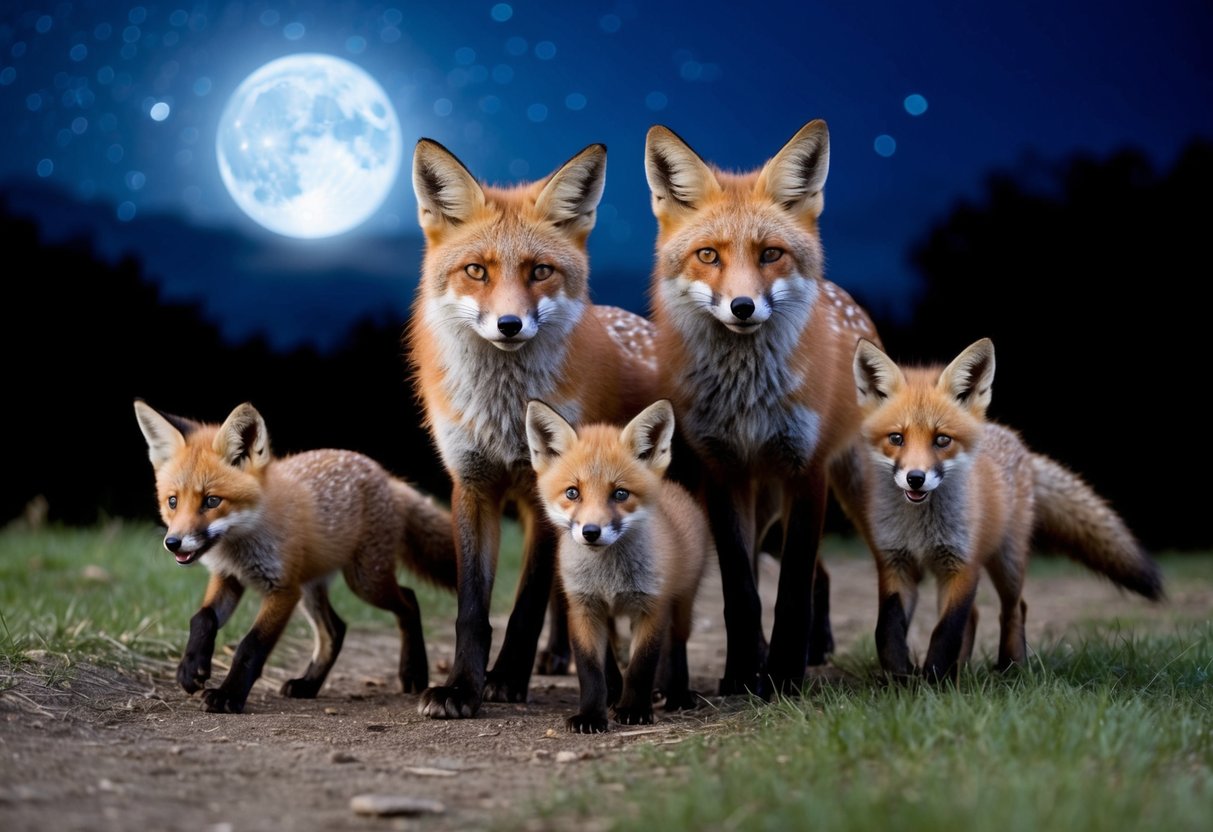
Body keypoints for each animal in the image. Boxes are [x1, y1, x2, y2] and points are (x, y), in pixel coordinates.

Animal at [133, 399, 457, 713]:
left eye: (212, 501)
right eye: (172, 502)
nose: (173, 543)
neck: (240, 546)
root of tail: (386, 476)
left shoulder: (283, 590)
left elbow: (250, 646)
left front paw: (228, 696)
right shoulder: (228, 578)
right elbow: (201, 618)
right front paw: (191, 668)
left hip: (364, 581)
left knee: (409, 601)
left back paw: (413, 672)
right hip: (312, 586)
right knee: (336, 630)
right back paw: (308, 685)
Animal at [407, 138, 658, 719]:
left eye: (540, 271)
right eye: (476, 271)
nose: (509, 325)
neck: (504, 413)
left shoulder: (552, 492)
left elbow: (526, 604)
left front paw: (505, 680)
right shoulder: (474, 485)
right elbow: (473, 610)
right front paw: (461, 687)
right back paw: (567, 654)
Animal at [525, 398, 710, 733]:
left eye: (620, 494)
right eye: (572, 492)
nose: (591, 532)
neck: (610, 578)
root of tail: (673, 488)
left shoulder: (653, 607)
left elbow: (642, 666)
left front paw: (635, 710)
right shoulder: (583, 608)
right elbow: (591, 671)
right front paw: (591, 715)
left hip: (682, 603)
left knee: (676, 645)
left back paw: (676, 693)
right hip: (609, 617)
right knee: (612, 657)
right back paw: (615, 693)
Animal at [644, 119, 882, 697]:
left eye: (771, 254)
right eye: (709, 256)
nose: (743, 307)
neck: (748, 397)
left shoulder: (807, 471)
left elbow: (791, 590)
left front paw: (785, 677)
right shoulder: (723, 473)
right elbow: (742, 592)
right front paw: (741, 675)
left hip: (855, 487)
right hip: (762, 500)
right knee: (813, 572)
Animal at [851, 338, 1164, 681]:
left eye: (942, 440)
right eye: (897, 438)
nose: (915, 478)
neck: (920, 530)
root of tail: (1018, 443)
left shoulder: (963, 565)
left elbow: (945, 633)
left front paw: (932, 681)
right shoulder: (895, 564)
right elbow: (887, 629)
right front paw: (900, 677)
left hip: (1007, 563)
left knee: (1014, 609)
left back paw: (1011, 668)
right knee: (975, 615)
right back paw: (960, 672)